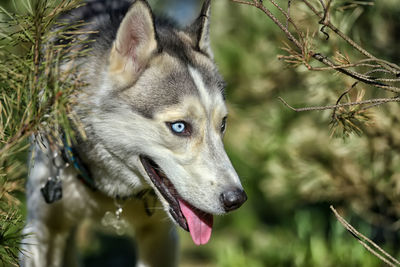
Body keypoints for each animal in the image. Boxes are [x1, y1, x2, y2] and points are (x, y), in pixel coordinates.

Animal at [21, 0, 247, 266]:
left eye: (222, 124)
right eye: (180, 127)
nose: (236, 200)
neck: (110, 193)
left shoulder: (160, 237)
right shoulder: (42, 230)